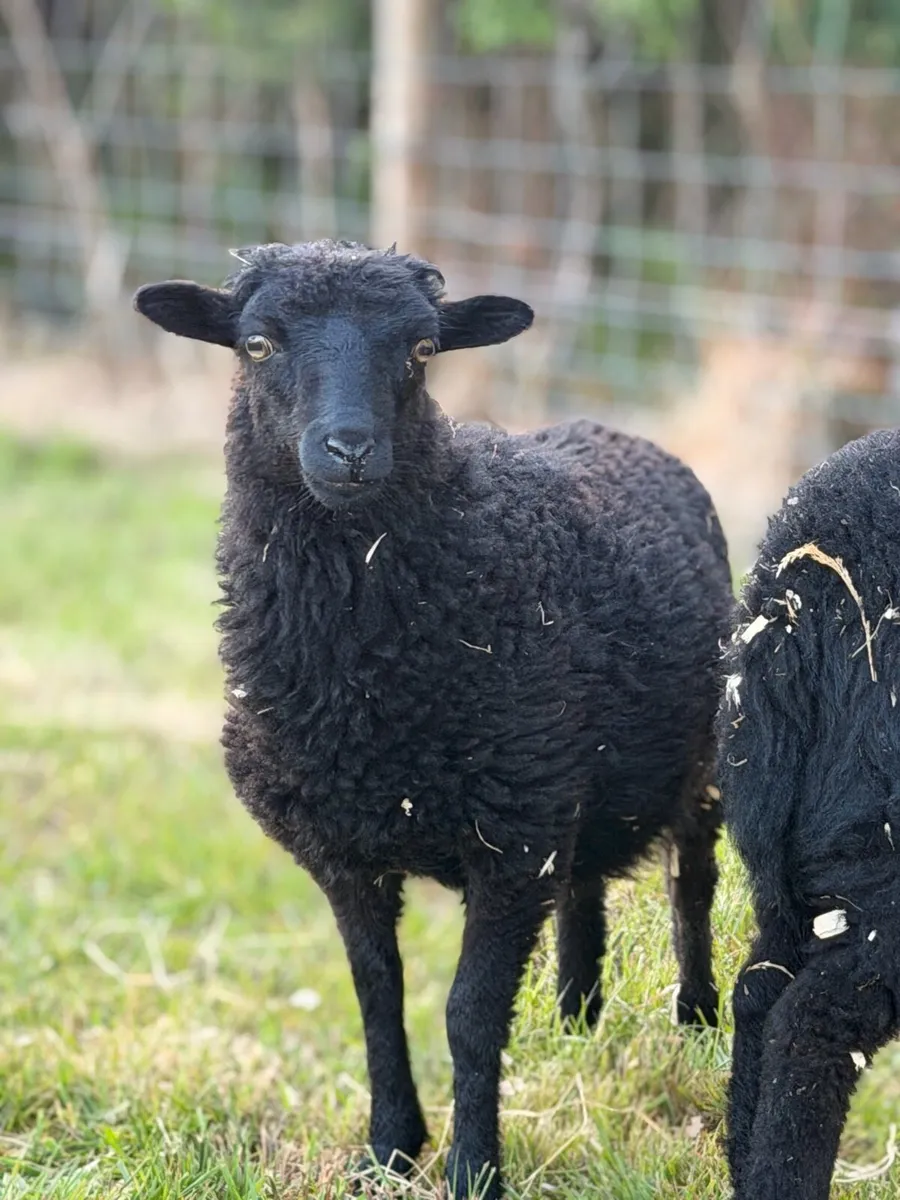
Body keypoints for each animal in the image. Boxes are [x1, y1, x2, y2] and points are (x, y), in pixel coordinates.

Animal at [133, 239, 732, 1199]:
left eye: (421, 350)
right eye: (257, 344)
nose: (348, 449)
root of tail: (612, 428)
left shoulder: (511, 841)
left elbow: (468, 1013)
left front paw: (473, 1169)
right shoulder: (346, 851)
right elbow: (377, 995)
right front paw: (387, 1152)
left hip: (696, 758)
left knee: (693, 883)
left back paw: (699, 1022)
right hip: (575, 777)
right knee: (586, 890)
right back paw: (576, 1027)